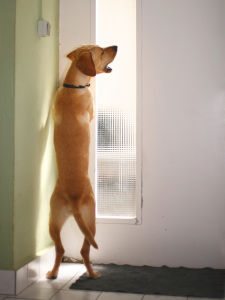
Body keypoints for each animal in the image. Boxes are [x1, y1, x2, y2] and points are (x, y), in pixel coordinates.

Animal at [47, 44, 118, 278]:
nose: (116, 46)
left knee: (60, 249)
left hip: (53, 219)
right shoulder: (91, 107)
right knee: (85, 250)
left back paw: (53, 273)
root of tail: (74, 201)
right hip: (91, 220)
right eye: (102, 51)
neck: (74, 87)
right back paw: (93, 274)